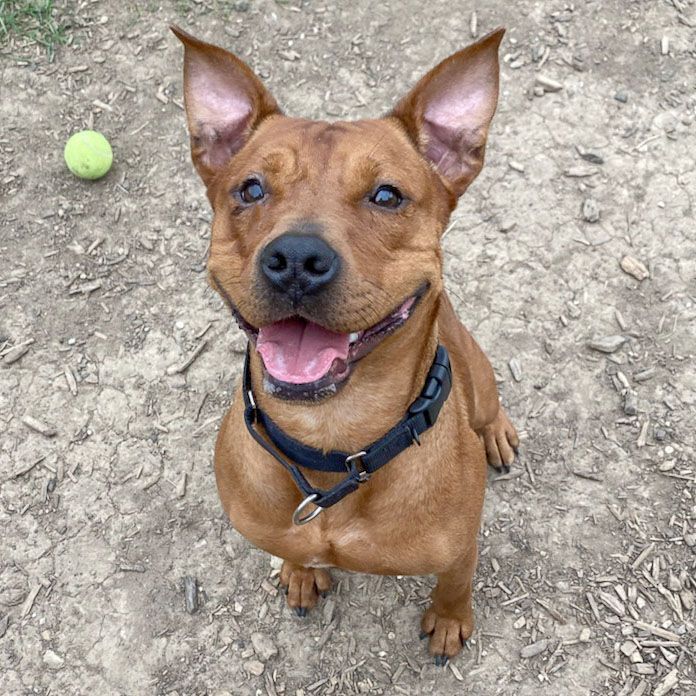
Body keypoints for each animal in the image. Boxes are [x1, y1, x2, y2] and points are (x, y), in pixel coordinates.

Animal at [174, 24, 520, 660]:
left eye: (386, 195)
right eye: (251, 189)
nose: (296, 260)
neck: (333, 438)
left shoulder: (459, 547)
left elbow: (456, 583)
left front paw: (449, 620)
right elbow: (294, 551)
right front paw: (301, 571)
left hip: (480, 380)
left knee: (490, 406)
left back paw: (498, 433)